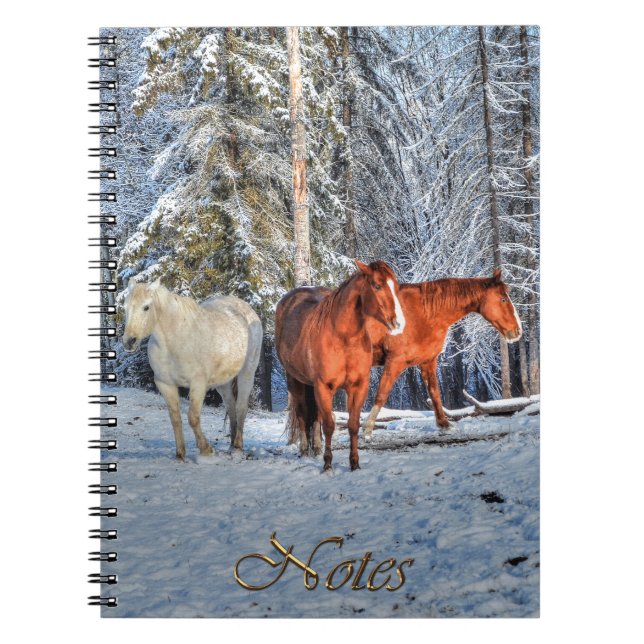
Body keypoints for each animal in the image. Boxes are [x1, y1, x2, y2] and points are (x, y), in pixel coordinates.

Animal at [122, 278, 262, 460]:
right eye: (125, 307)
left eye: (146, 307)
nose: (129, 342)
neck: (174, 341)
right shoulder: (165, 384)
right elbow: (175, 418)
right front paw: (180, 454)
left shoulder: (198, 384)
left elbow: (193, 418)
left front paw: (206, 449)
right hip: (222, 382)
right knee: (231, 407)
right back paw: (231, 445)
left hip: (247, 373)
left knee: (241, 407)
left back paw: (238, 446)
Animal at [275, 260, 406, 472]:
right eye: (377, 285)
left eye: (395, 286)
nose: (398, 322)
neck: (343, 339)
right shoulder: (324, 386)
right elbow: (329, 425)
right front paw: (328, 464)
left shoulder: (358, 386)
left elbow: (352, 425)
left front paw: (354, 463)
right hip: (295, 379)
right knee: (302, 414)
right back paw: (304, 450)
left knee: (316, 416)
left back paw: (316, 448)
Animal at [363, 268, 522, 438]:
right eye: (503, 299)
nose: (518, 331)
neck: (421, 314)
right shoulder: (395, 361)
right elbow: (382, 394)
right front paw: (367, 429)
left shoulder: (428, 361)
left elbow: (435, 393)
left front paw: (444, 424)